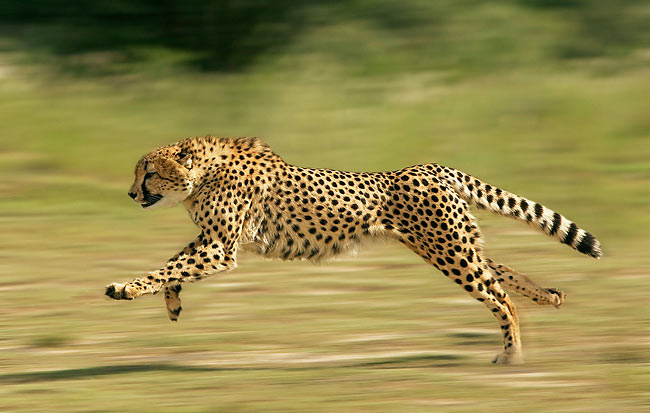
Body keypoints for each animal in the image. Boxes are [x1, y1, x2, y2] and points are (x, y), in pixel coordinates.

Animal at [106, 136, 601, 364]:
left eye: (149, 172)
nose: (130, 194)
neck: (202, 175)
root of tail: (430, 165)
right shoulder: (212, 240)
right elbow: (174, 265)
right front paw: (171, 303)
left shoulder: (219, 248)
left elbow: (169, 267)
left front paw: (125, 288)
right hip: (451, 243)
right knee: (500, 271)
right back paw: (549, 296)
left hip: (448, 250)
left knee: (498, 295)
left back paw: (512, 354)